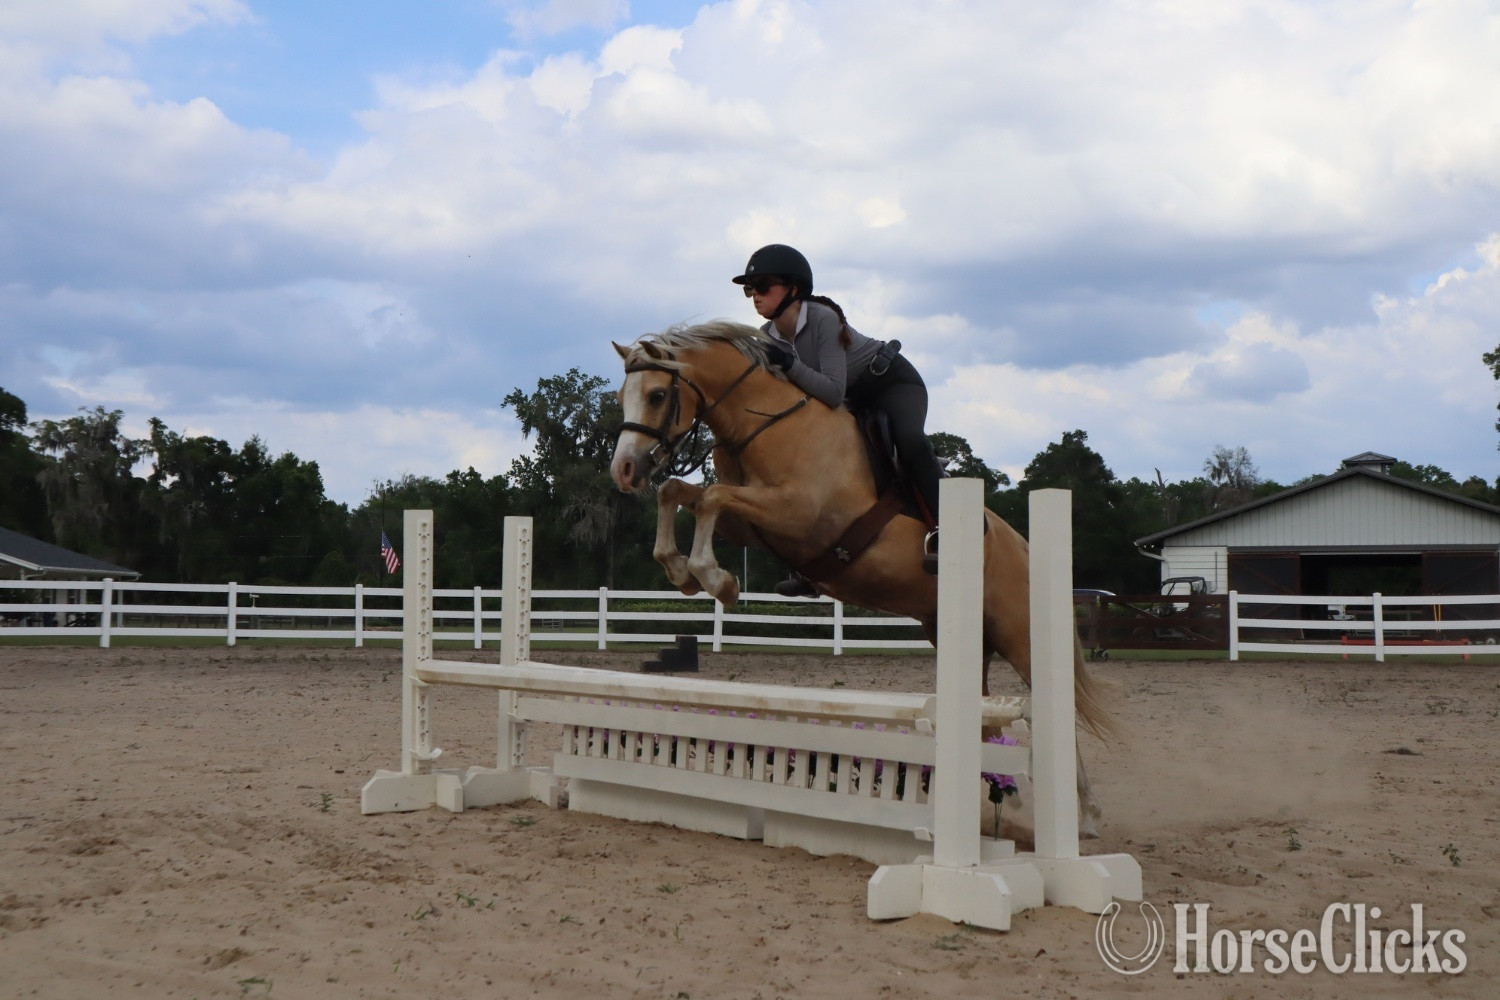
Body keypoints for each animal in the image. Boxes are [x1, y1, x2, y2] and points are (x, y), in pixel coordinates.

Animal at [608, 320, 1113, 834]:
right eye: (621, 397)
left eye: (656, 395)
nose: (624, 471)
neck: (765, 423)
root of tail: (1027, 549)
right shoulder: (750, 523)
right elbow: (680, 492)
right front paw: (680, 569)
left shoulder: (796, 513)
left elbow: (710, 497)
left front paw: (716, 580)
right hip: (958, 637)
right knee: (988, 717)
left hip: (1020, 636)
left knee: (1057, 712)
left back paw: (1089, 815)